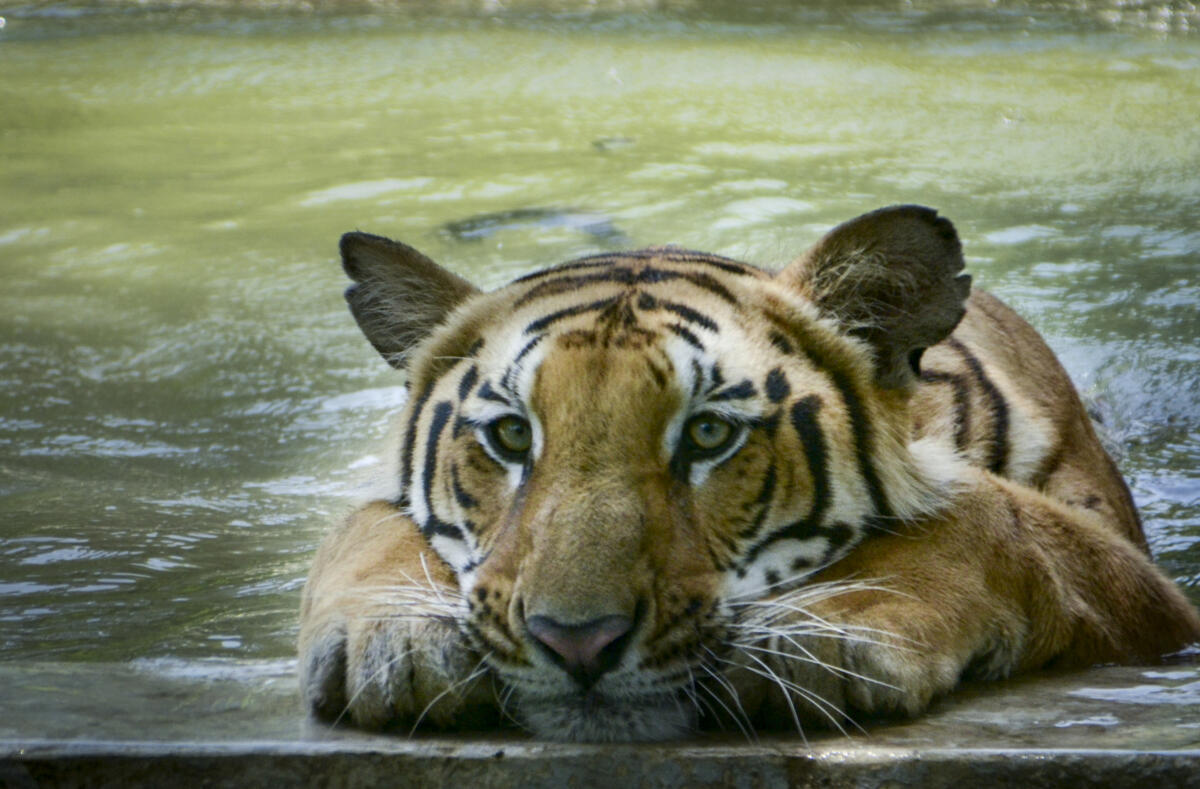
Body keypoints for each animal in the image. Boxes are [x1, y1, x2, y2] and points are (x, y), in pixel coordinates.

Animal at [298, 205, 1200, 742]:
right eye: (513, 435)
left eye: (707, 434)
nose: (575, 641)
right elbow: (365, 521)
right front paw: (395, 639)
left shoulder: (1136, 580)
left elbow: (993, 515)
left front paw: (829, 628)